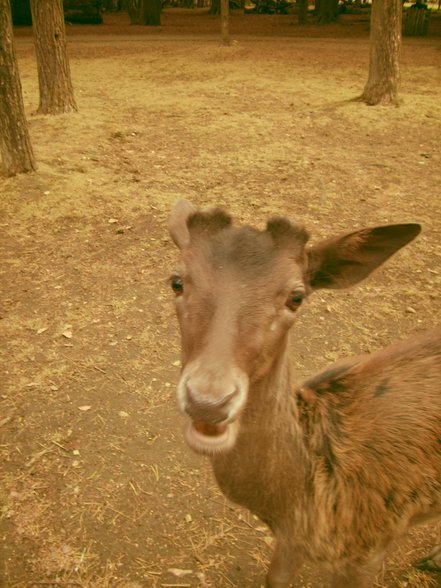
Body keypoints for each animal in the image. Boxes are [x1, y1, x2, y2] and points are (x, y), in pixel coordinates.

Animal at [167, 200, 438, 584]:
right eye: (176, 282)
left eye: (296, 297)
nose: (208, 401)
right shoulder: (289, 541)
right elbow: (275, 578)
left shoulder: (370, 550)